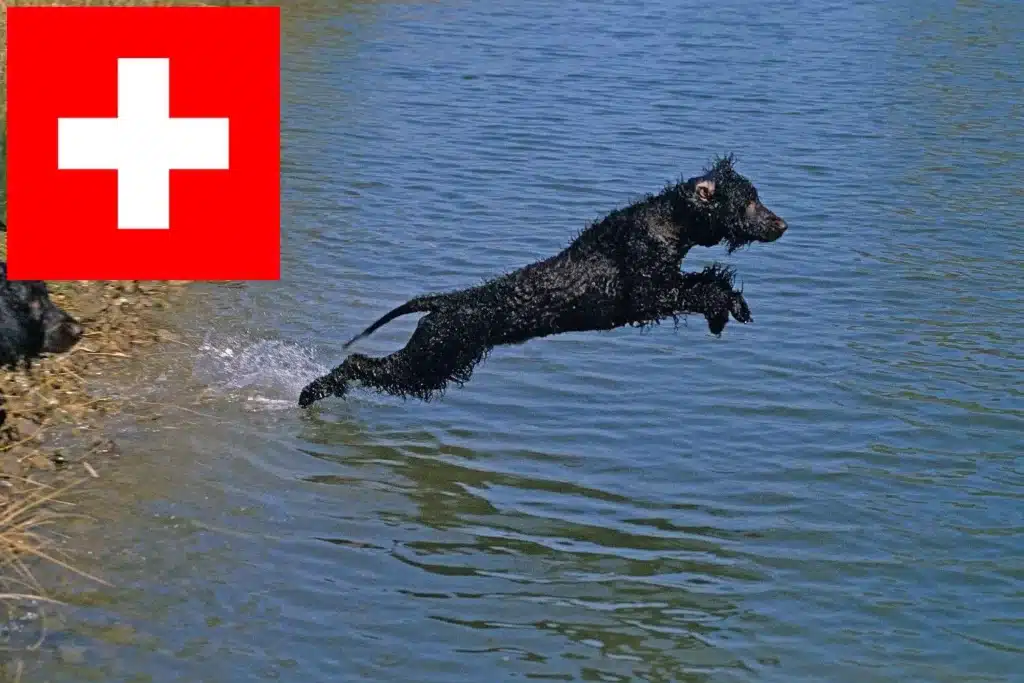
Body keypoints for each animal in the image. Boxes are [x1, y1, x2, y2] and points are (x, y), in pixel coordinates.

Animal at [299, 154, 786, 405]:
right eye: (747, 202)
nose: (783, 225)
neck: (665, 220)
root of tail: (444, 302)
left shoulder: (661, 287)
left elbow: (710, 280)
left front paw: (732, 308)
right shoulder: (648, 295)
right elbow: (703, 286)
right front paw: (724, 309)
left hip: (437, 361)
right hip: (429, 362)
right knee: (360, 365)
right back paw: (311, 392)